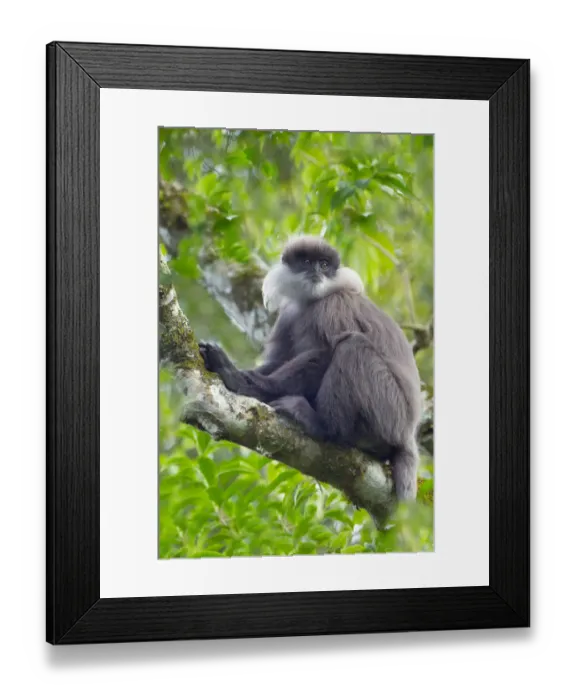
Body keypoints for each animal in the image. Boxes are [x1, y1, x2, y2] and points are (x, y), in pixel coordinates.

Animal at [199, 235, 422, 501]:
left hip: (390, 411)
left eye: (324, 264)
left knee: (351, 346)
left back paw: (323, 426)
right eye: (307, 262)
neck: (310, 302)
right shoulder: (288, 315)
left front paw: (240, 380)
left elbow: (325, 352)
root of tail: (408, 434)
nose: (317, 271)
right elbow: (277, 360)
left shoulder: (334, 305)